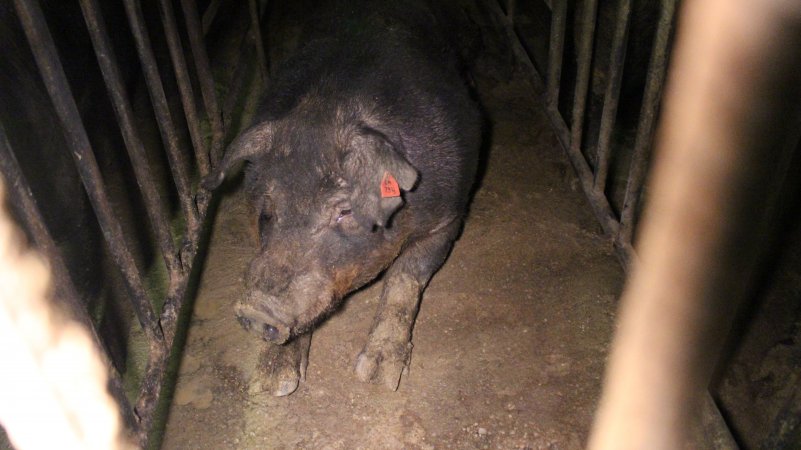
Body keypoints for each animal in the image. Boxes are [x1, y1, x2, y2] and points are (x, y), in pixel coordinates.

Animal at [203, 0, 482, 394]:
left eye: (344, 211)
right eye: (268, 208)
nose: (255, 309)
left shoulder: (448, 217)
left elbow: (404, 280)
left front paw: (378, 378)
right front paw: (271, 384)